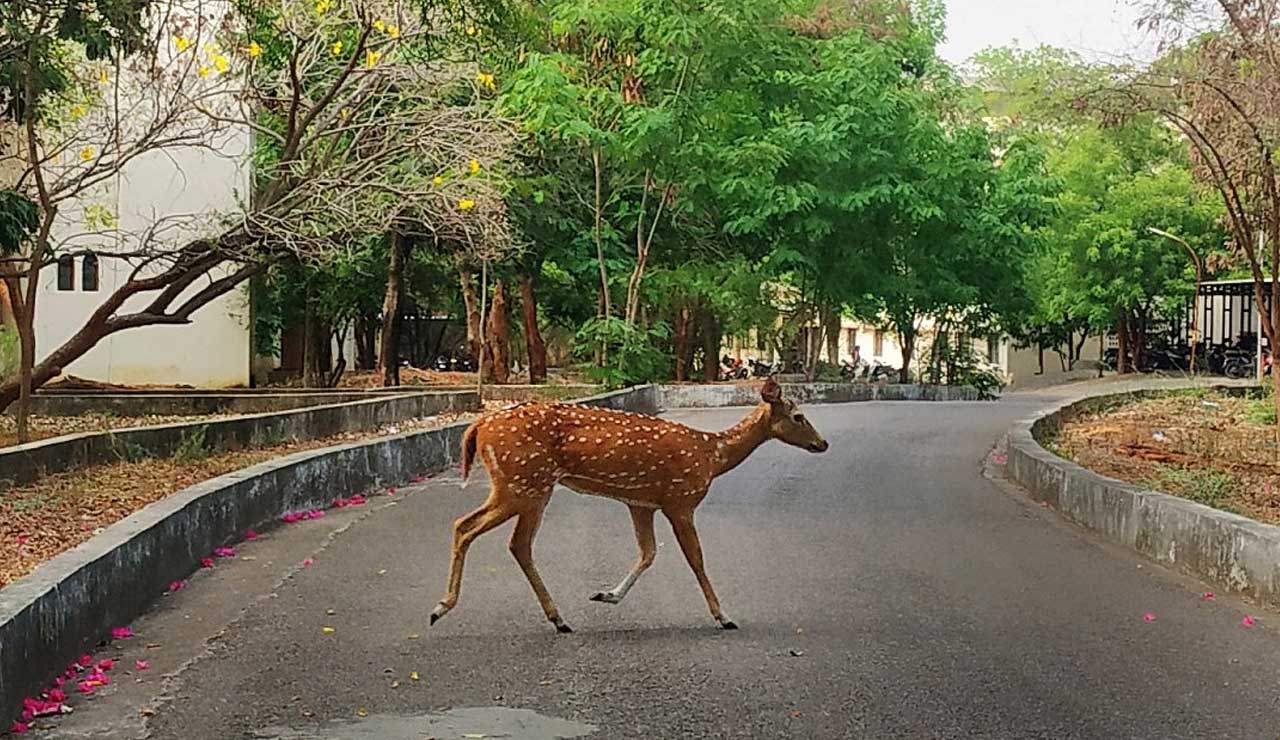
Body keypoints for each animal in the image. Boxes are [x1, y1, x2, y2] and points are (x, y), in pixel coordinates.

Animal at [428, 377, 829, 633]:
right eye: (798, 416)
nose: (822, 443)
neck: (711, 456)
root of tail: (478, 426)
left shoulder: (641, 503)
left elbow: (648, 552)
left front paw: (606, 595)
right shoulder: (680, 500)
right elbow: (696, 559)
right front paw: (724, 616)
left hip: (526, 486)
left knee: (512, 542)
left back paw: (558, 619)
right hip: (523, 483)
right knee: (470, 527)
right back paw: (441, 607)